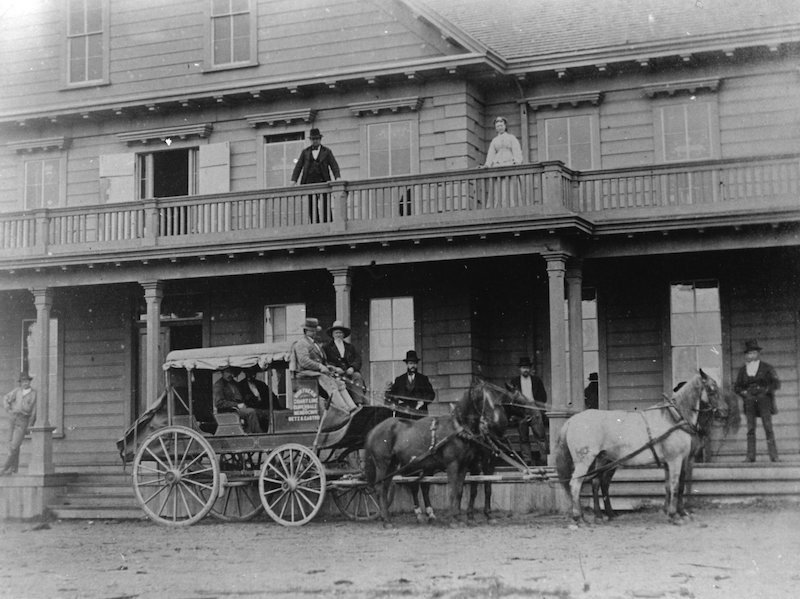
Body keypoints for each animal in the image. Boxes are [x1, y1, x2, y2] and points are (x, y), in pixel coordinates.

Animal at [364, 382, 506, 528]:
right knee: (380, 488)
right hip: (383, 463)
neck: (458, 430)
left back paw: (389, 517)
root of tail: (375, 429)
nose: (500, 423)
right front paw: (452, 519)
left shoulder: (464, 465)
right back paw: (387, 520)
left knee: (387, 487)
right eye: (483, 398)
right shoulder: (453, 465)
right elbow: (453, 490)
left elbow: (459, 491)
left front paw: (458, 517)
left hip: (393, 465)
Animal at [556, 370, 724, 524]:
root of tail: (572, 420)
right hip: (585, 460)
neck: (674, 418)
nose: (723, 413)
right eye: (711, 389)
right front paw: (674, 515)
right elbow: (676, 486)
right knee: (576, 484)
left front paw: (677, 513)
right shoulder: (675, 460)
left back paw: (601, 515)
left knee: (597, 483)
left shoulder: (676, 461)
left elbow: (673, 486)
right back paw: (579, 517)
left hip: (603, 459)